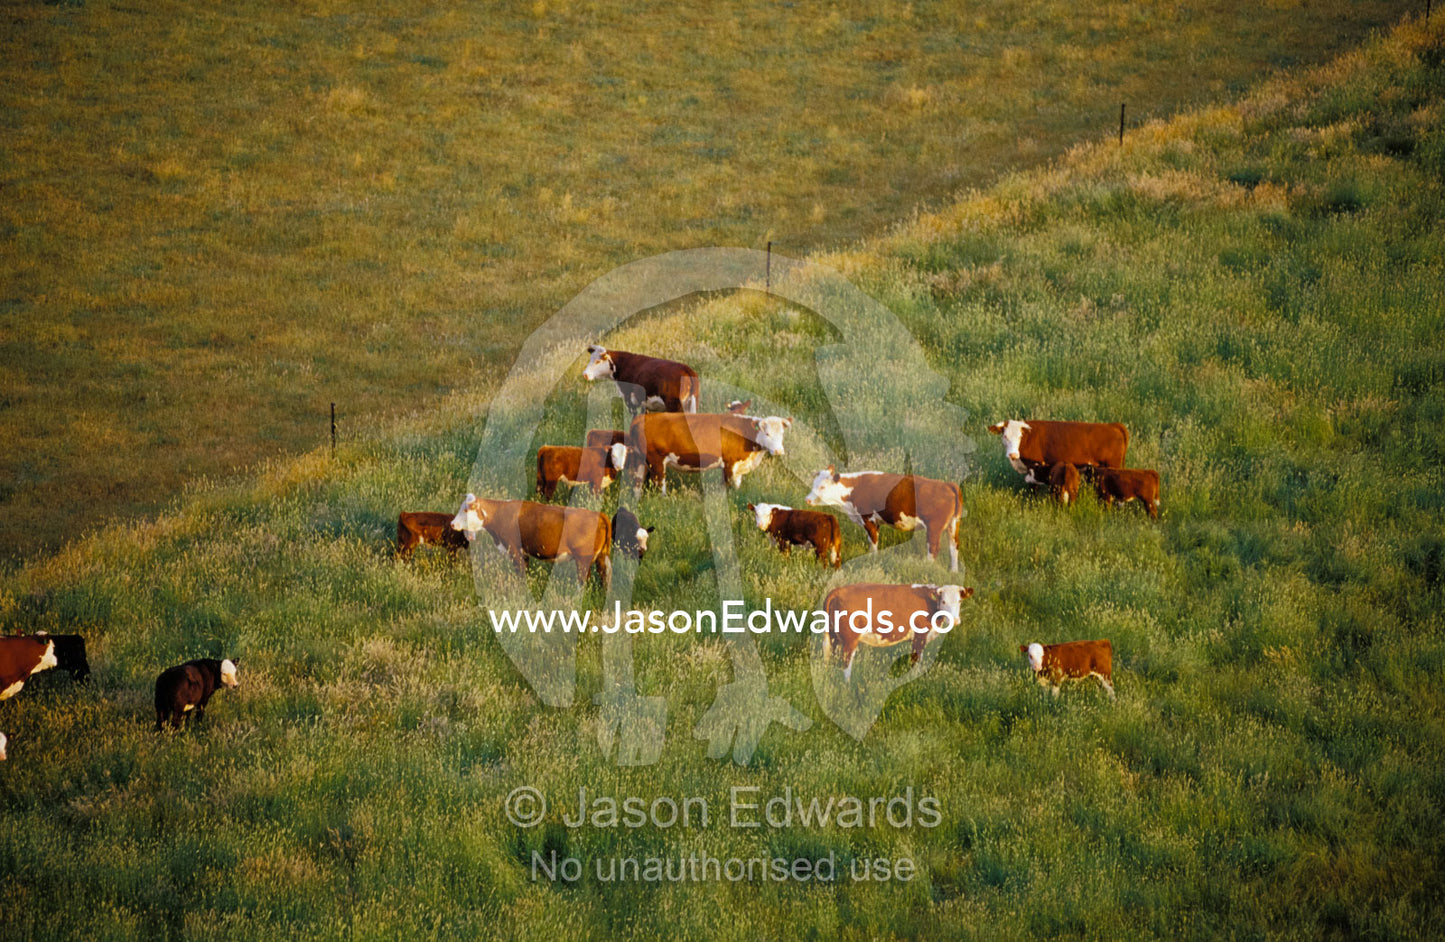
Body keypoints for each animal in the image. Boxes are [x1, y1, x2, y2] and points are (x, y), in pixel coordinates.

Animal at [451, 494, 612, 590]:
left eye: (465, 510)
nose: (452, 524)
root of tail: (598, 514)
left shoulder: (513, 548)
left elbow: (520, 573)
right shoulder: (524, 553)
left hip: (583, 560)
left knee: (582, 583)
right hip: (601, 558)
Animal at [625, 412, 791, 493]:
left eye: (782, 433)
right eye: (767, 433)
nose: (779, 451)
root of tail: (641, 417)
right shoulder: (730, 464)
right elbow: (727, 486)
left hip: (641, 462)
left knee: (637, 485)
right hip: (656, 462)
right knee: (660, 485)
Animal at [805, 468, 963, 572]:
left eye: (822, 487)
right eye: (814, 484)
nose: (807, 499)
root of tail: (947, 485)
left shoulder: (868, 518)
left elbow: (873, 542)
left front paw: (873, 561)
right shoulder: (876, 522)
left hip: (934, 527)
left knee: (934, 548)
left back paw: (927, 568)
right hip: (953, 525)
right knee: (954, 548)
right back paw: (953, 572)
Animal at [824, 583, 974, 680]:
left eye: (959, 601)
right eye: (943, 601)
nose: (955, 620)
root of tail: (838, 590)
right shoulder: (919, 637)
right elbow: (915, 661)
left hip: (834, 637)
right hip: (850, 640)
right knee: (846, 665)